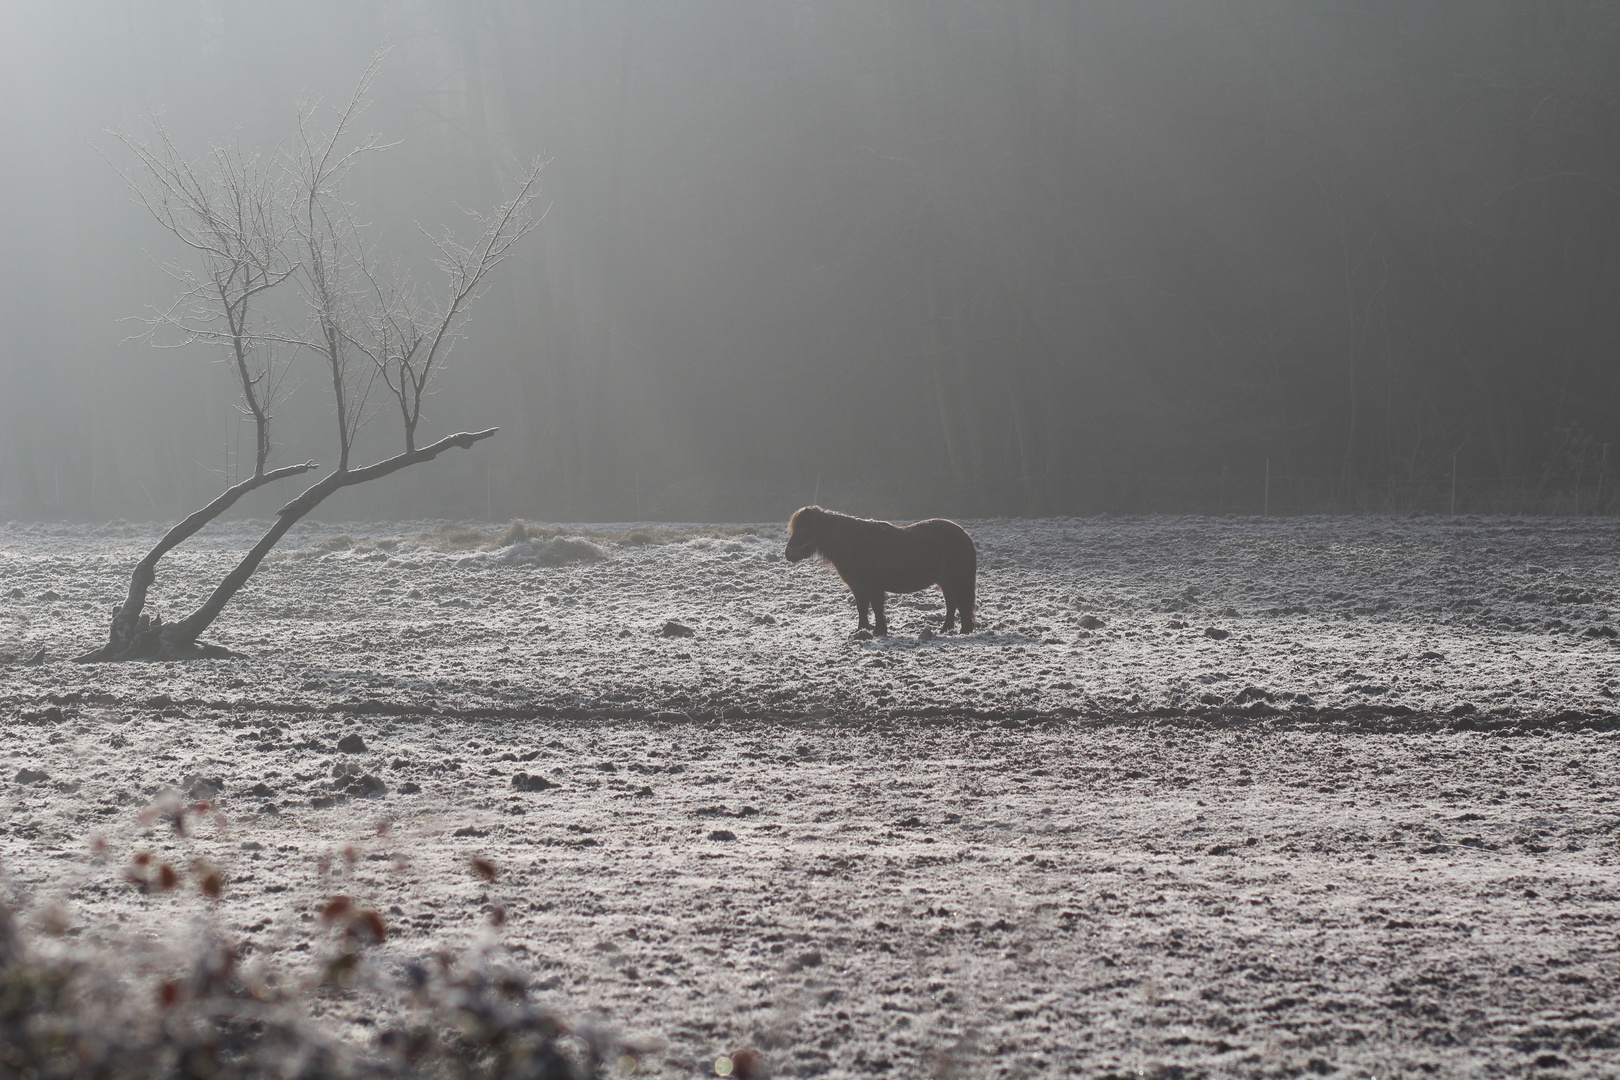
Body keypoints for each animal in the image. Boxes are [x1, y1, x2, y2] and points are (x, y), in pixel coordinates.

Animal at [784, 505, 972, 634]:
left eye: (803, 530)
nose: (788, 554)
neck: (855, 545)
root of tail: (964, 535)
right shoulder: (858, 587)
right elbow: (862, 608)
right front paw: (862, 629)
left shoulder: (873, 587)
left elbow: (876, 607)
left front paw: (880, 631)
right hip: (947, 583)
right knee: (953, 603)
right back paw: (950, 629)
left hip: (952, 581)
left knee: (956, 603)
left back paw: (956, 630)